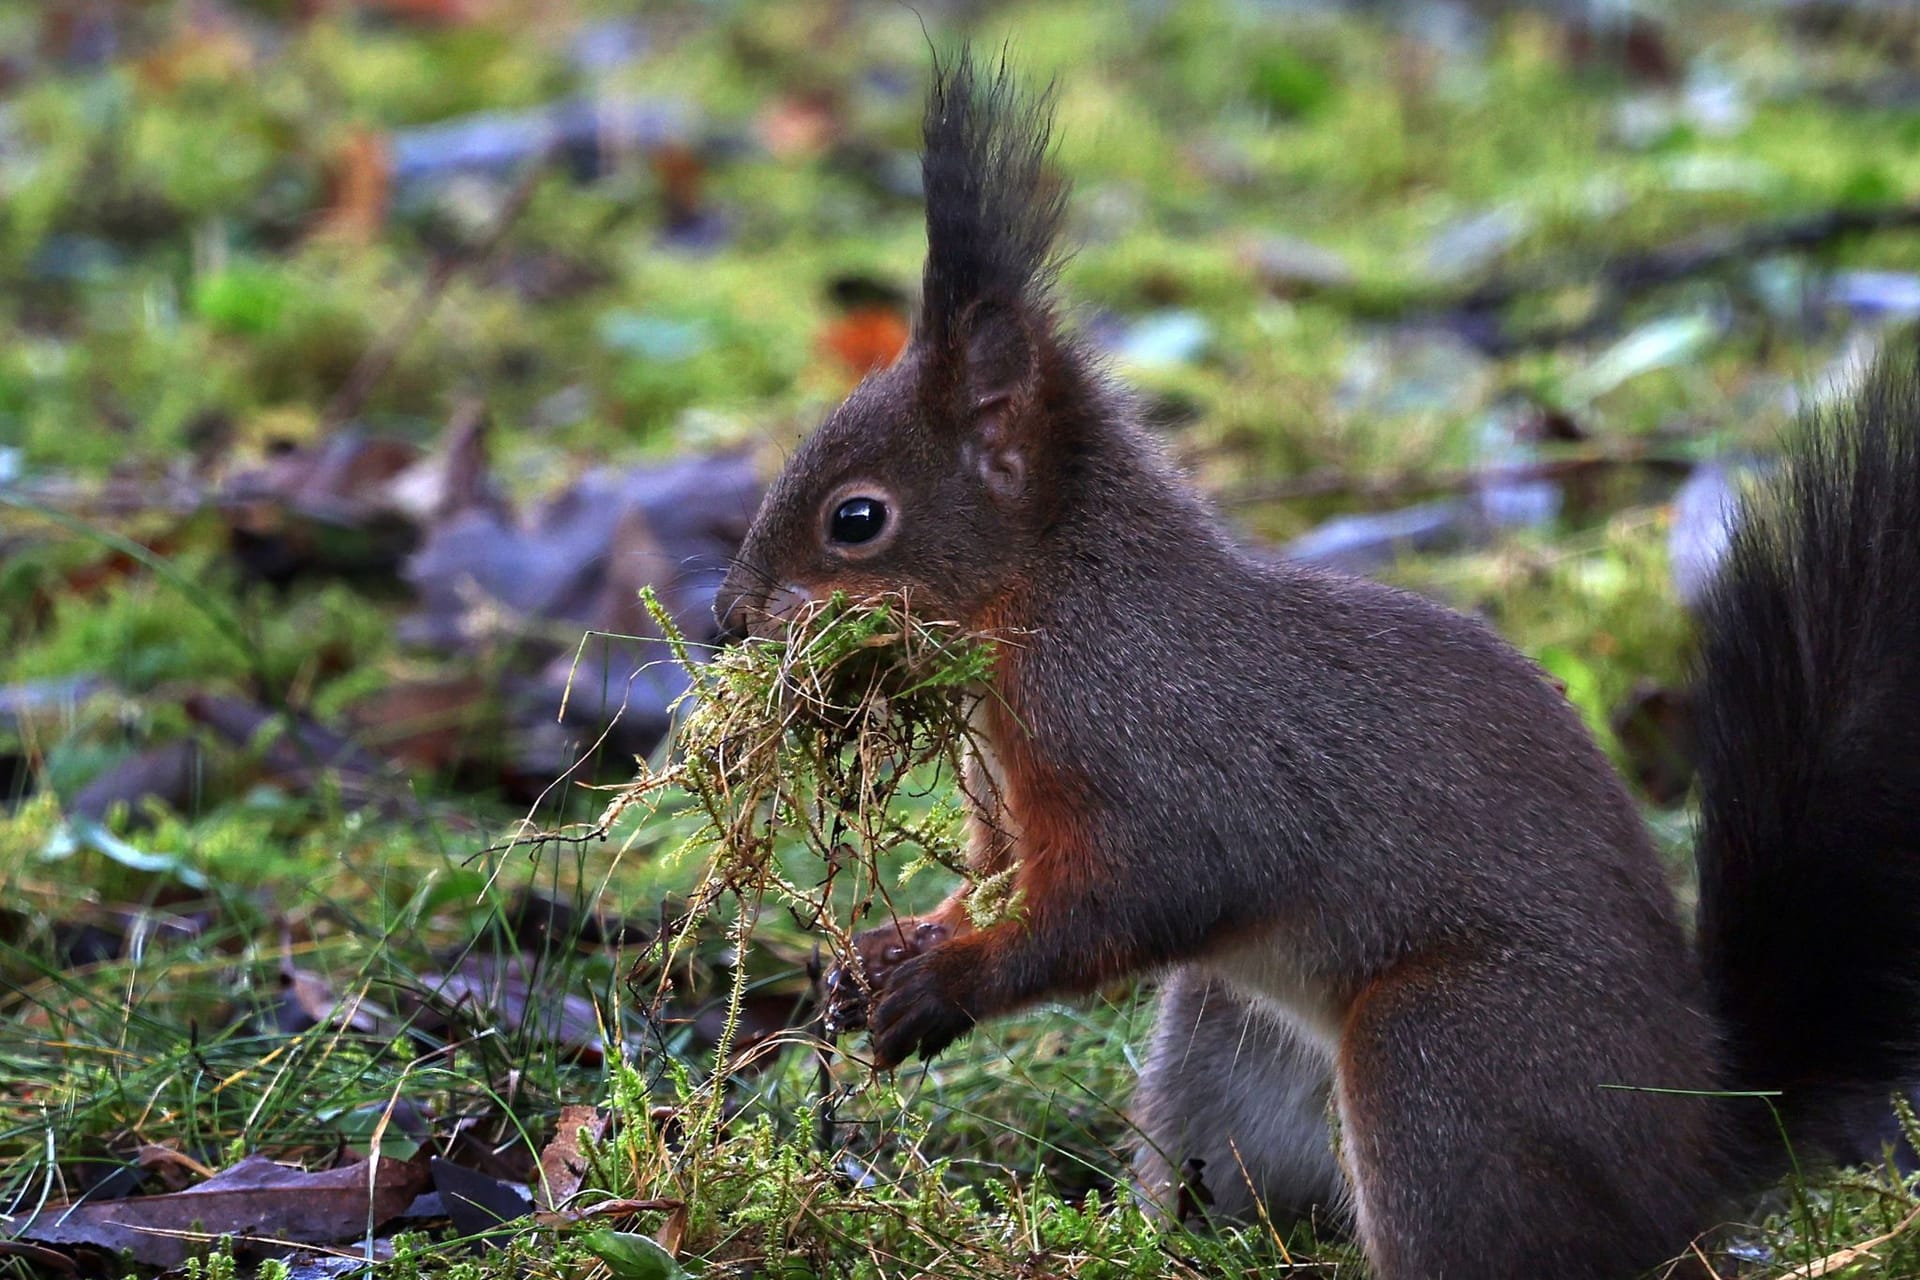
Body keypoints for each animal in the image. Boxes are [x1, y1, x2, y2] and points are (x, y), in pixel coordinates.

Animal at [714, 52, 1920, 1280]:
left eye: (856, 519)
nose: (728, 615)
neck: (1052, 606)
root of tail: (1701, 1151)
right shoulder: (1007, 804)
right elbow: (990, 881)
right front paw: (873, 955)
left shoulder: (1162, 750)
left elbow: (1135, 895)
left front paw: (941, 986)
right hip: (1220, 1041)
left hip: (1443, 1060)